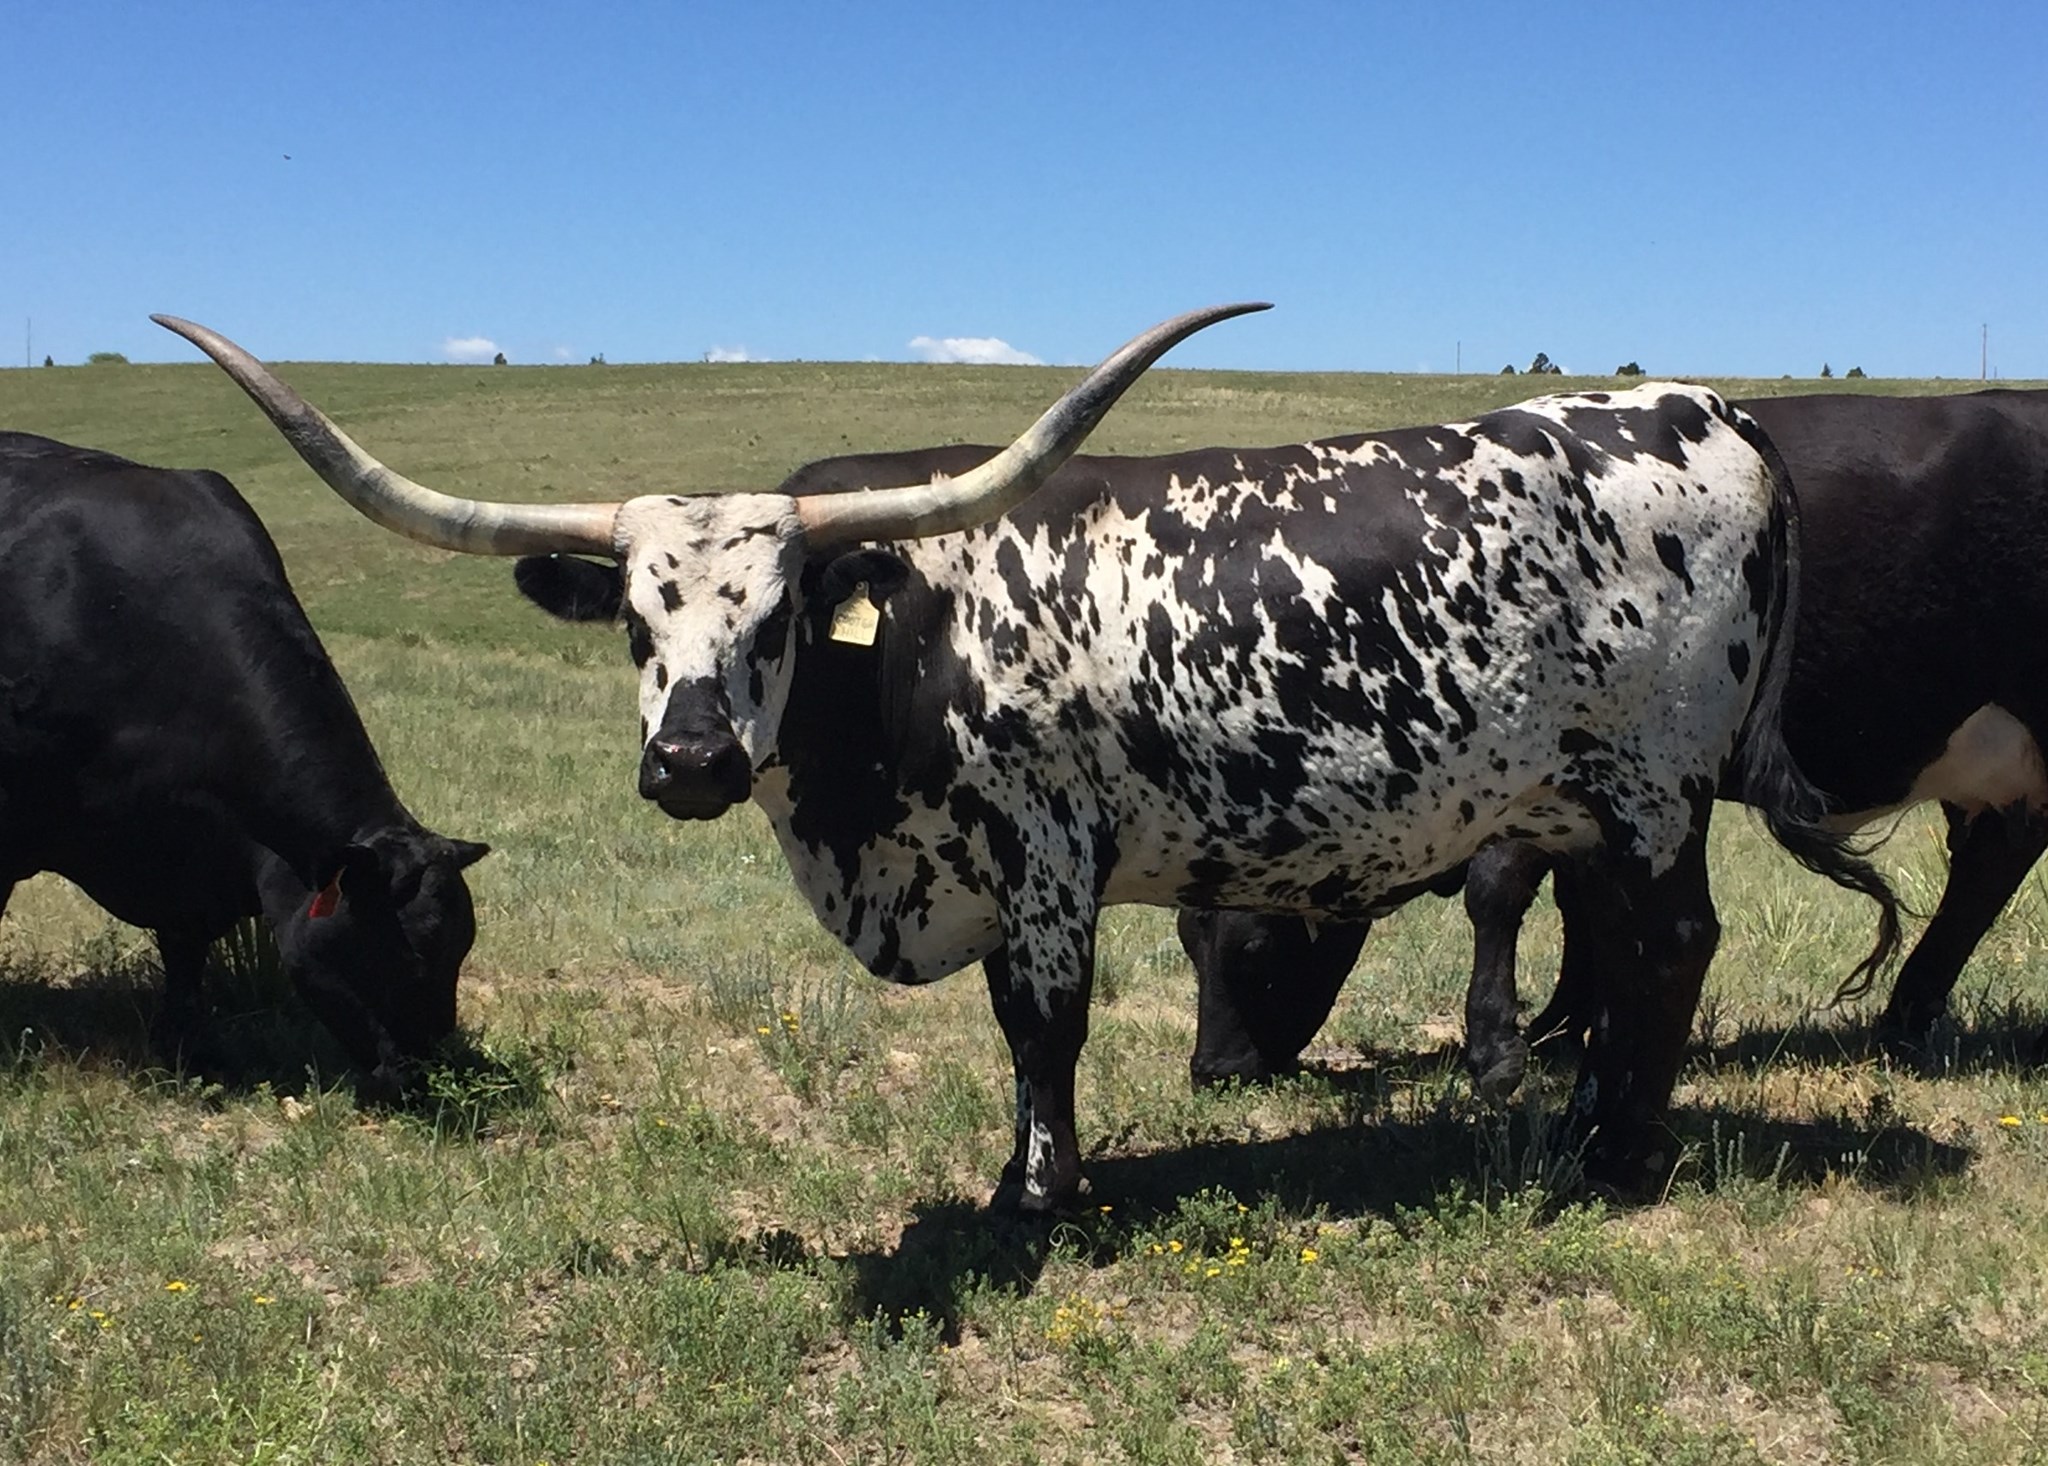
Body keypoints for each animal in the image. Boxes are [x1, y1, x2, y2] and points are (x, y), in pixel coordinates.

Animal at [0, 431, 490, 1091]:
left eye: (456, 952)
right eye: (390, 952)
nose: (421, 1072)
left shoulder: (195, 859)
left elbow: (184, 956)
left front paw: (188, 1049)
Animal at [155, 305, 1898, 1206]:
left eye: (778, 613)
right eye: (638, 620)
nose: (695, 759)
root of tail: (1710, 407)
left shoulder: (1046, 861)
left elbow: (1038, 1028)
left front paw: (1034, 1196)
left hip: (1655, 791)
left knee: (1672, 943)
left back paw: (1619, 1156)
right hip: (1587, 800)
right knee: (1612, 948)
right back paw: (1586, 1122)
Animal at [1182, 387, 2048, 1090]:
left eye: (1250, 948)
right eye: (1189, 940)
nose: (1214, 1070)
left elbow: (1499, 892)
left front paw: (1499, 1045)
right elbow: (1582, 901)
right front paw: (1566, 1024)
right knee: (1991, 864)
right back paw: (1907, 1015)